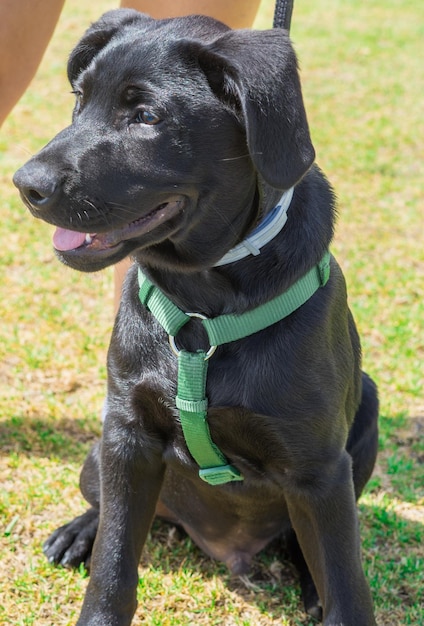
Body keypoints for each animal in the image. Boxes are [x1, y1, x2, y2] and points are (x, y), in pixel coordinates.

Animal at [13, 11, 380, 624]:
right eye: (78, 99)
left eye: (146, 117)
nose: (25, 185)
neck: (201, 309)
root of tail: (228, 548)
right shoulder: (128, 437)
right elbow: (114, 561)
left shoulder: (321, 469)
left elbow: (346, 584)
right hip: (98, 450)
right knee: (110, 511)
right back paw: (79, 530)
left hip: (364, 421)